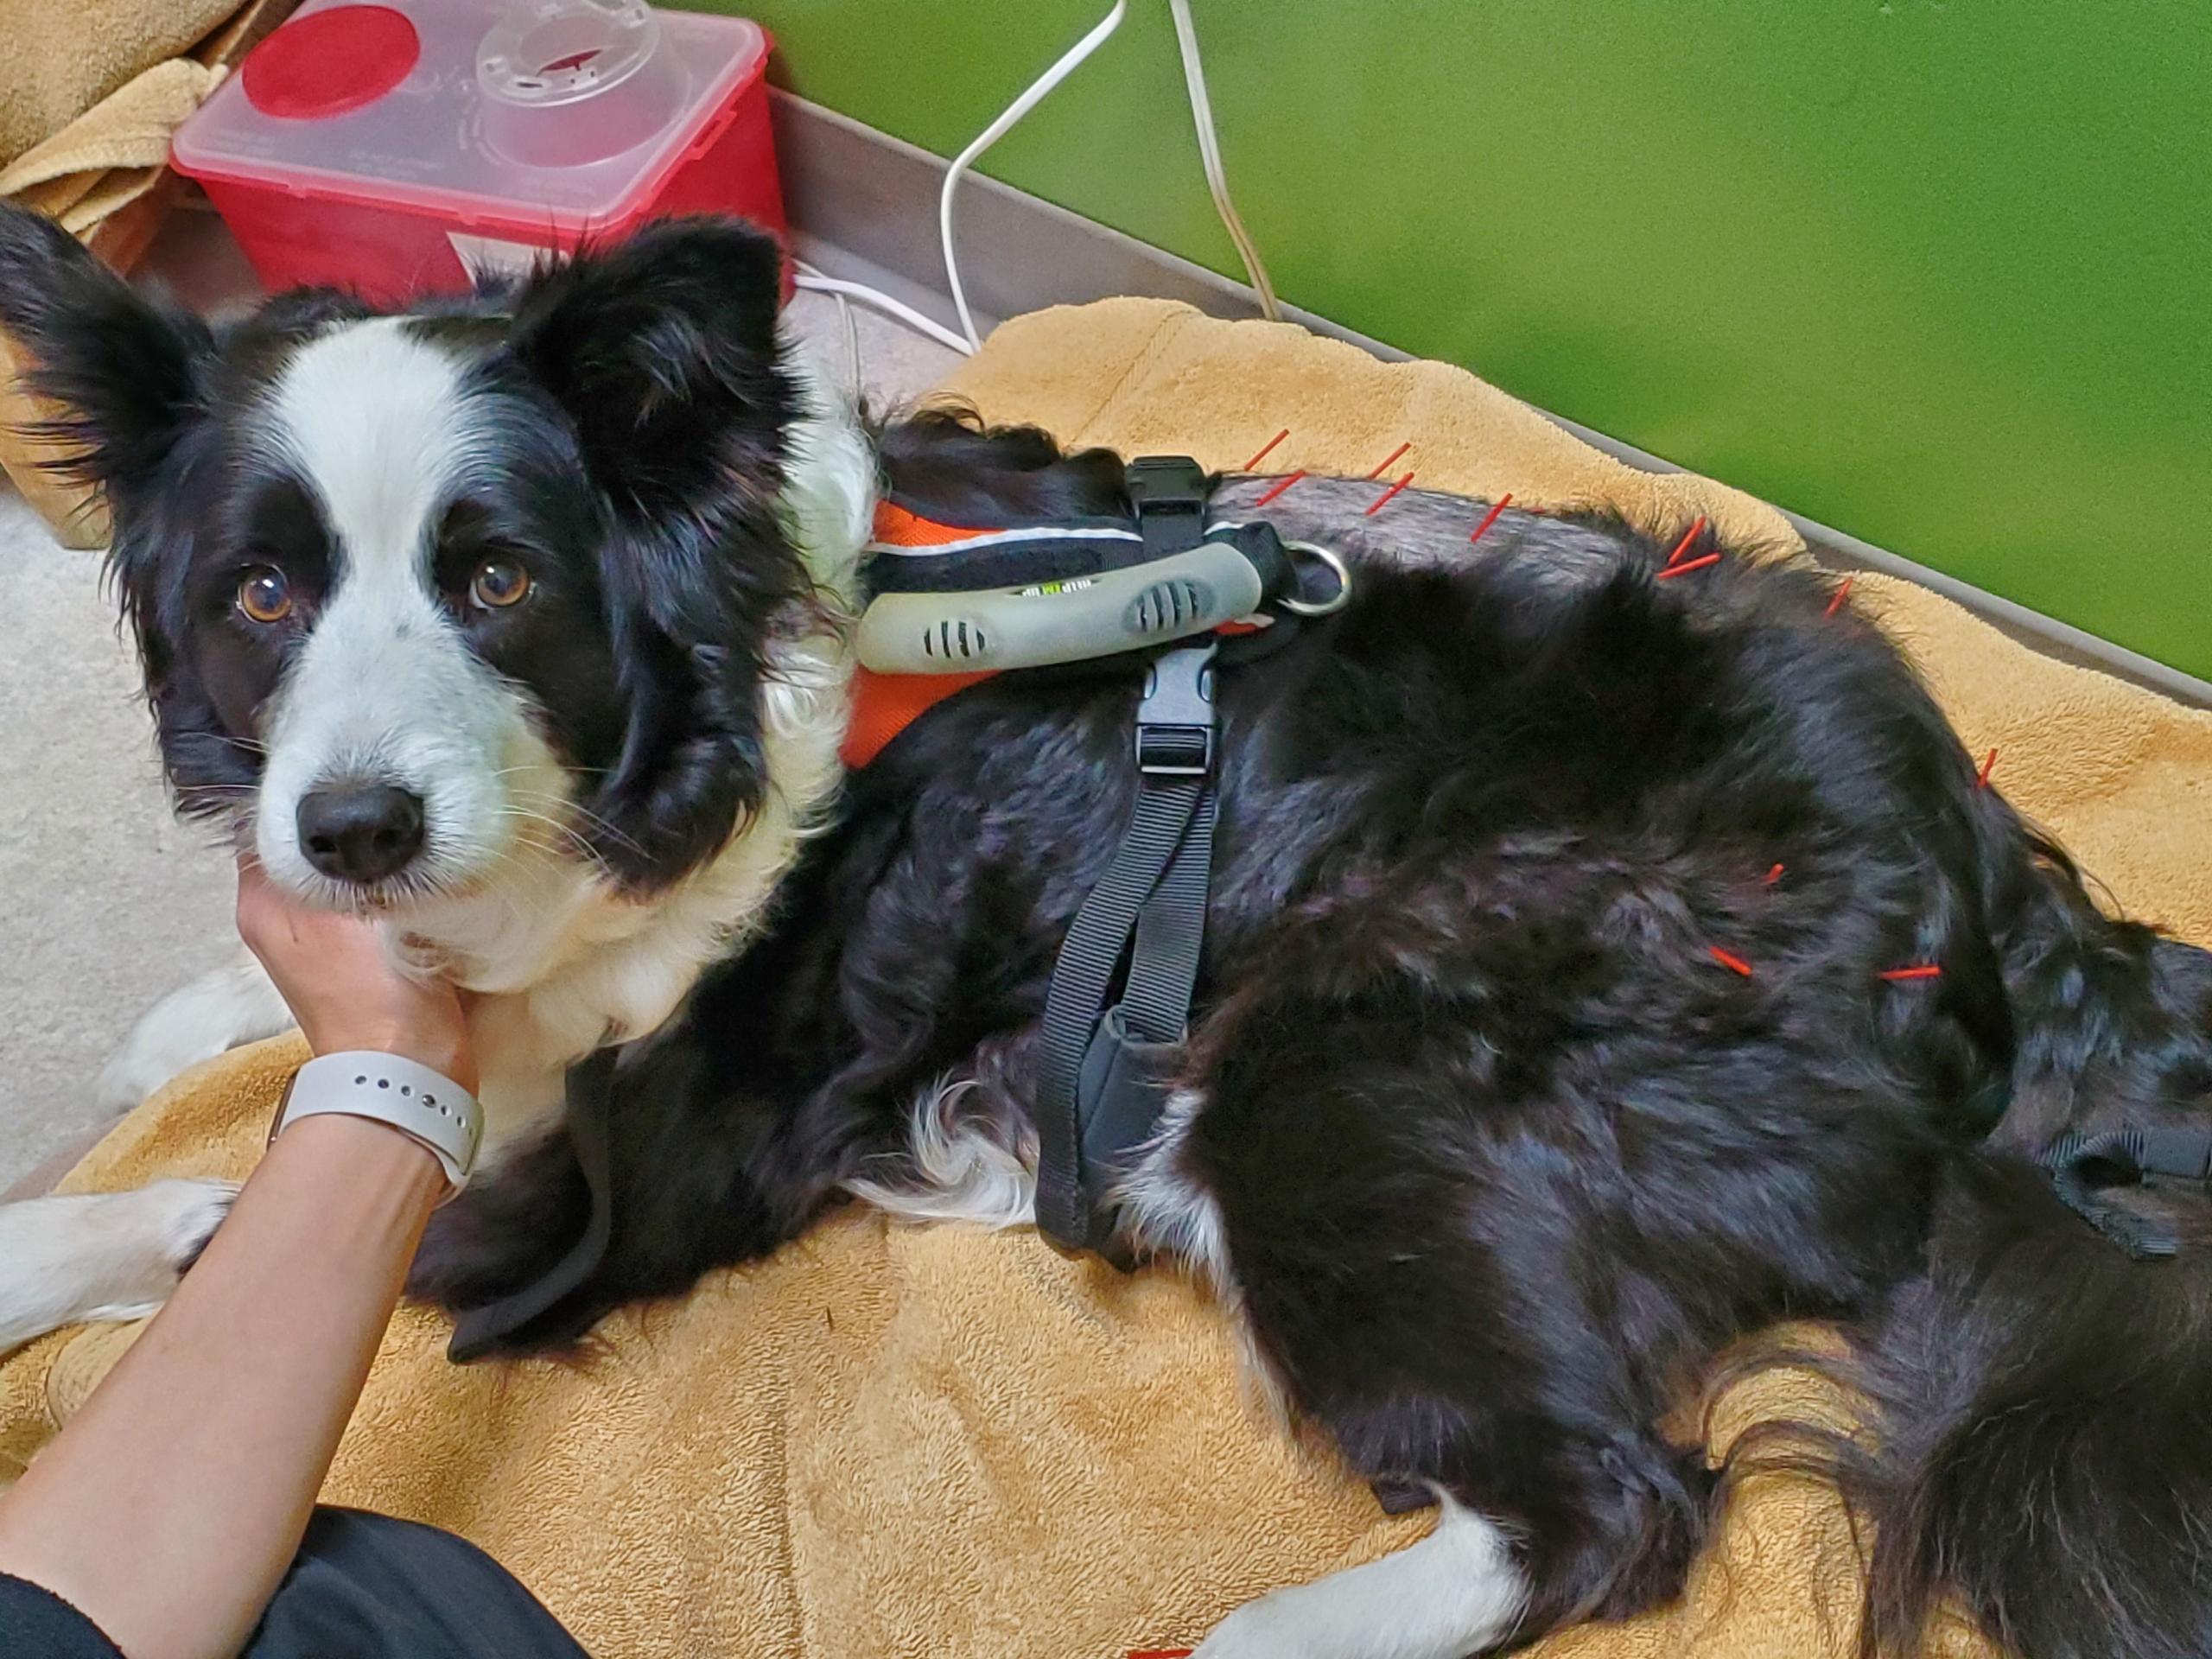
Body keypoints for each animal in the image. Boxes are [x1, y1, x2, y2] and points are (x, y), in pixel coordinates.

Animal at [4, 211, 2212, 1659]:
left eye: (498, 582)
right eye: (263, 595)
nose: (354, 824)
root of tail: (2013, 936)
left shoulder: (686, 1134)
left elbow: (393, 1168)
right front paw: (192, 1019)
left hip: (1334, 1062)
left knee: (1602, 1505)